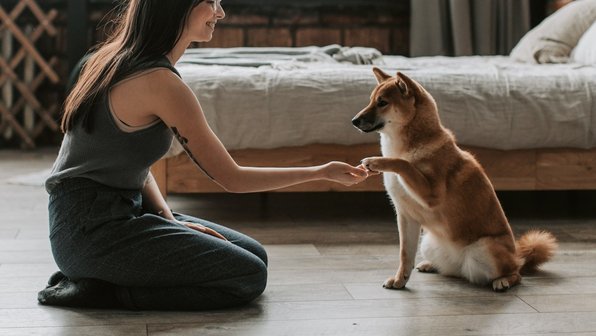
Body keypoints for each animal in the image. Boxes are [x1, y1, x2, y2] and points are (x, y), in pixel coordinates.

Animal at [352, 68, 556, 292]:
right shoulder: (406, 216)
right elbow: (405, 254)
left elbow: (404, 164)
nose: (354, 120)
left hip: (485, 248)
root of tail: (518, 257)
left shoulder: (431, 194)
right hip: (428, 243)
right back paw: (431, 265)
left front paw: (377, 162)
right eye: (371, 100)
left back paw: (504, 280)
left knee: (516, 274)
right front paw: (400, 280)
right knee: (453, 270)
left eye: (382, 102)